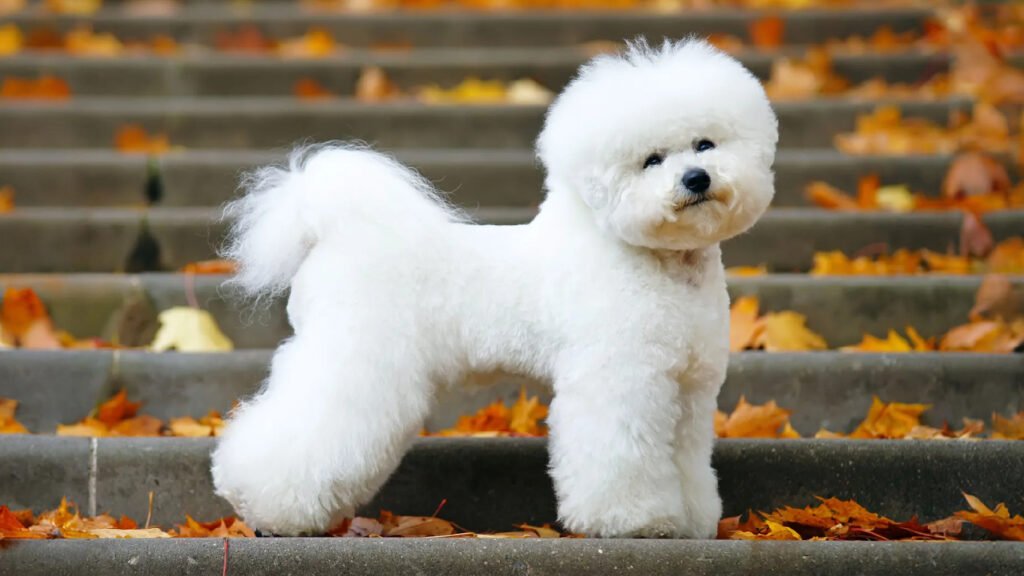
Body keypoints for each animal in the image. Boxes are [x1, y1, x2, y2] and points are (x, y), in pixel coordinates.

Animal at [214, 38, 774, 537]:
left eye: (705, 144)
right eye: (651, 160)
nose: (697, 179)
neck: (658, 263)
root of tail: (329, 233)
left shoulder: (688, 389)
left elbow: (687, 459)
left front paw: (693, 520)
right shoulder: (621, 379)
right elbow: (619, 455)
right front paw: (635, 521)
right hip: (358, 359)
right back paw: (268, 507)